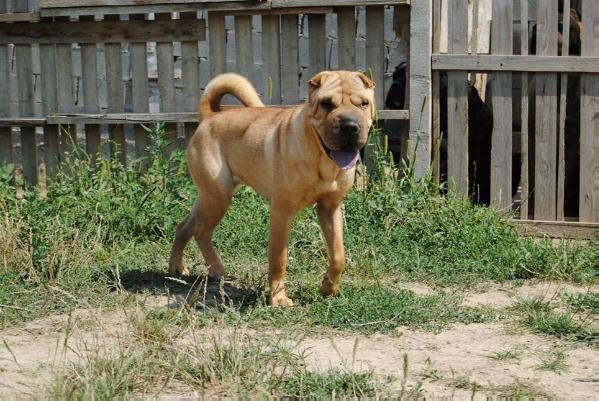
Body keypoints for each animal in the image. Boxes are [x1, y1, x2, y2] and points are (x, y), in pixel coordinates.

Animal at [169, 70, 376, 304]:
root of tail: (209, 116)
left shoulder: (330, 207)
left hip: (208, 197)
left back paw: (177, 267)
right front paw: (278, 299)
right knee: (201, 232)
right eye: (326, 104)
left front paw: (328, 288)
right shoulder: (281, 212)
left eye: (364, 103)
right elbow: (279, 259)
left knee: (184, 226)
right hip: (218, 197)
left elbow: (339, 254)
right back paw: (216, 269)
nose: (350, 126)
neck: (321, 159)